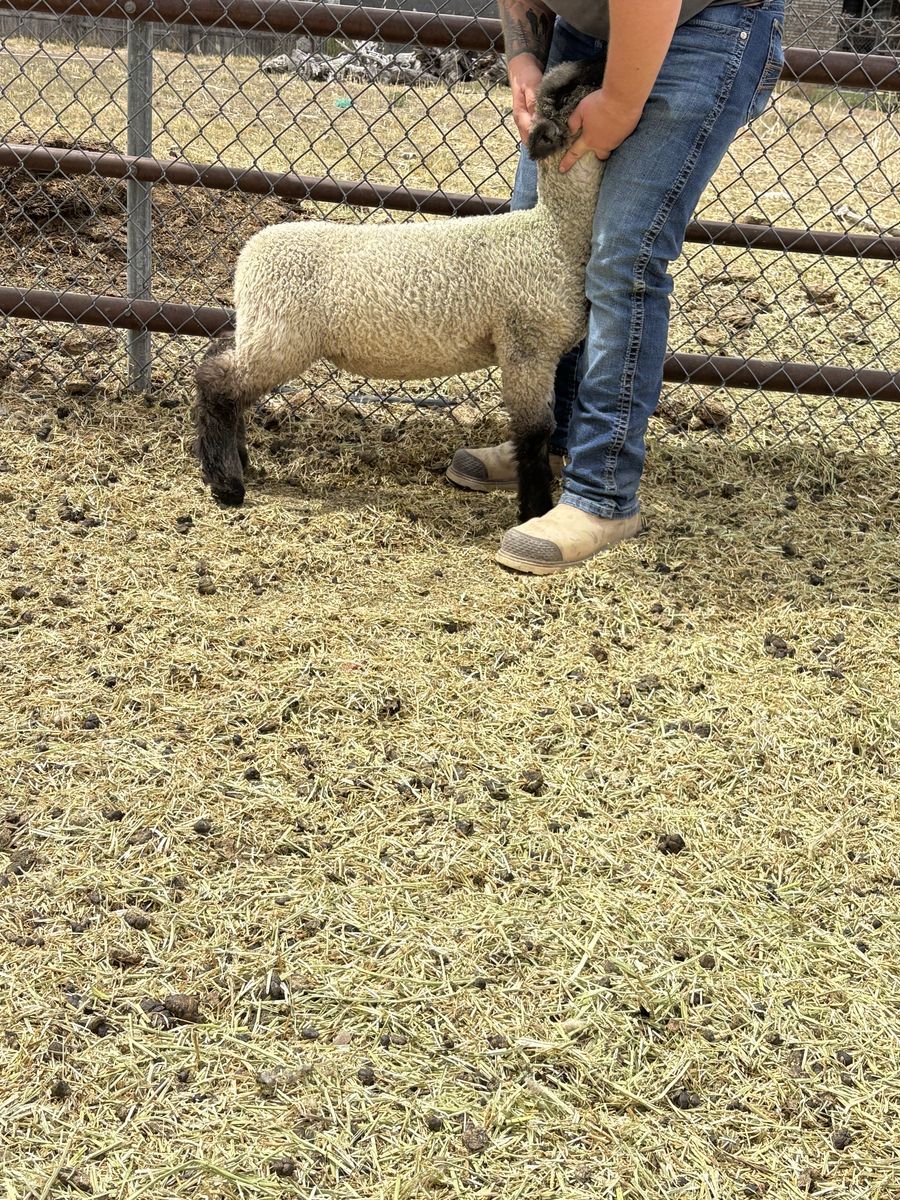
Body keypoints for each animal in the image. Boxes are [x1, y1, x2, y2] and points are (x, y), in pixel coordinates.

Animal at [194, 57, 606, 524]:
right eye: (575, 87)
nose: (605, 62)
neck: (552, 234)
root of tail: (250, 254)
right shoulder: (526, 345)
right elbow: (535, 432)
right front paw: (535, 511)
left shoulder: (535, 348)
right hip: (281, 335)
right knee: (218, 384)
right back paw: (227, 484)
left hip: (262, 327)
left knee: (219, 361)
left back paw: (234, 462)